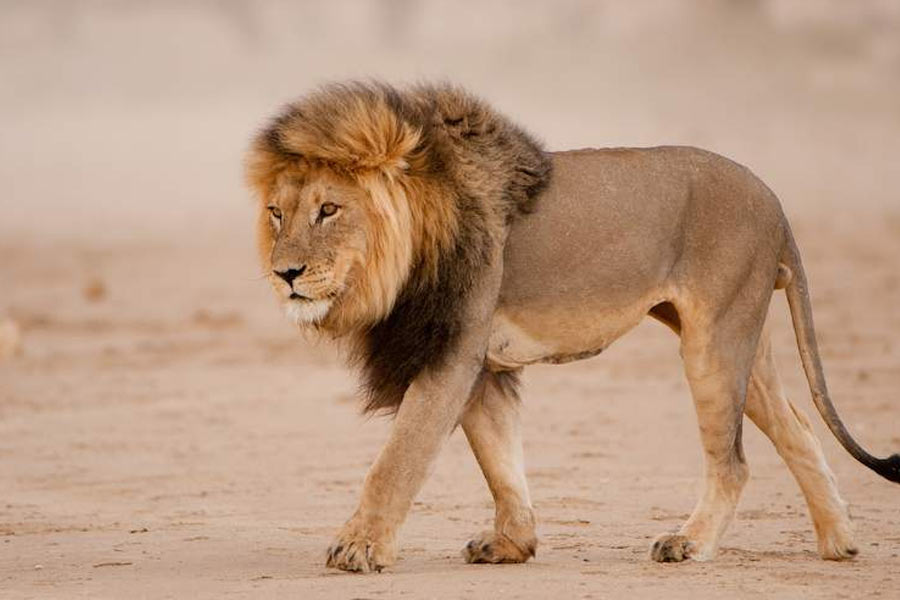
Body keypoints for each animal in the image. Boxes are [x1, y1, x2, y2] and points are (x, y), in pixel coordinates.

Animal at [245, 81, 900, 573]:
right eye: (277, 213)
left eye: (329, 210)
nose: (285, 274)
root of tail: (776, 201)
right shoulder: (480, 364)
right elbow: (500, 460)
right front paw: (512, 544)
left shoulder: (451, 353)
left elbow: (398, 459)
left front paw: (359, 547)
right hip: (743, 339)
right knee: (800, 431)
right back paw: (840, 542)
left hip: (713, 342)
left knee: (733, 460)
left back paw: (691, 543)